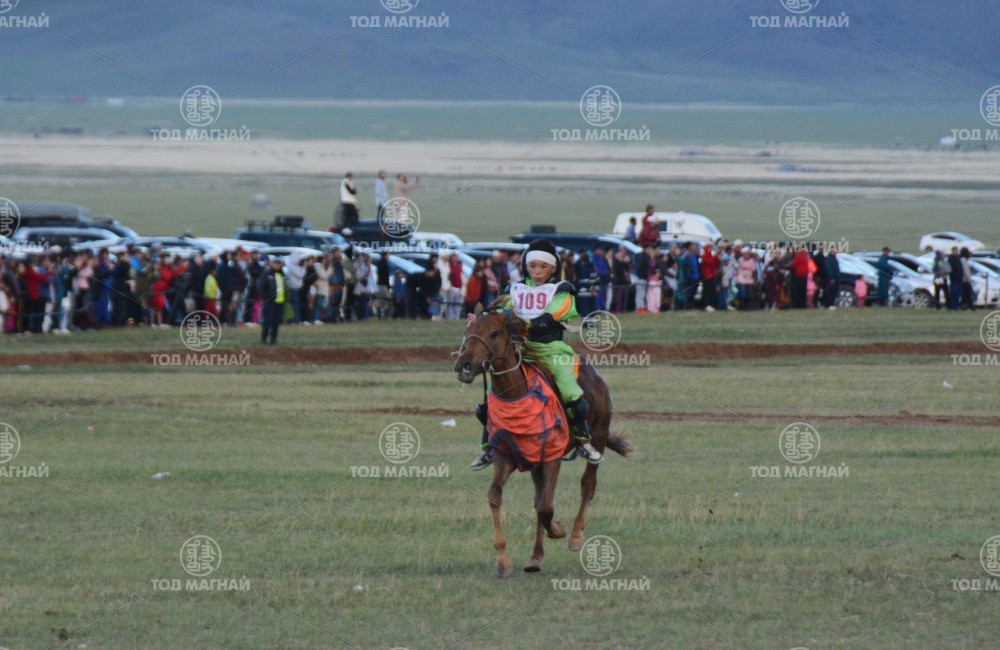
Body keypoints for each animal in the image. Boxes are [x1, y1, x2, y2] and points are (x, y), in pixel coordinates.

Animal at [453, 303, 632, 578]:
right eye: (467, 332)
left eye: (494, 333)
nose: (464, 365)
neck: (517, 396)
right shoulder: (506, 458)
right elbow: (497, 496)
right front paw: (503, 561)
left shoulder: (552, 458)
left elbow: (547, 508)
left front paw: (559, 530)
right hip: (535, 465)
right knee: (539, 500)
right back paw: (535, 558)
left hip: (599, 435)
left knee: (587, 484)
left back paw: (576, 534)